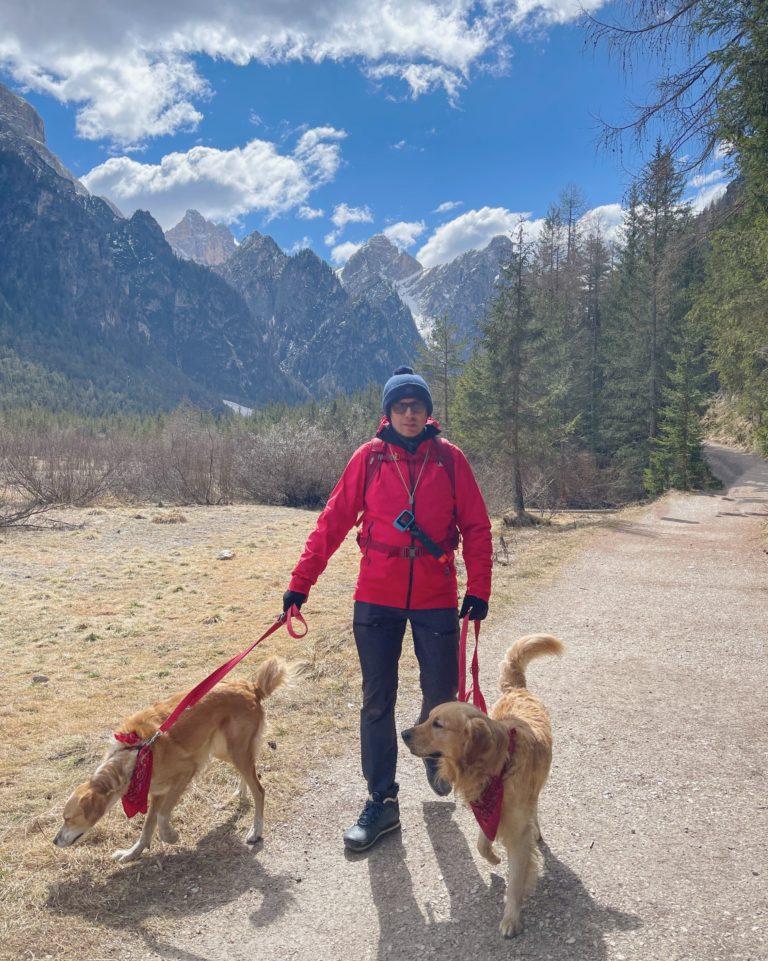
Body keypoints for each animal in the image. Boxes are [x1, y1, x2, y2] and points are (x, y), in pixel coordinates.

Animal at [53, 652, 288, 864]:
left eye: (68, 818)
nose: (55, 841)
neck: (135, 754)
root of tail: (251, 688)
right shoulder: (156, 791)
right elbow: (147, 826)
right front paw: (133, 853)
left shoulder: (185, 772)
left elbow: (162, 816)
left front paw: (170, 837)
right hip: (226, 750)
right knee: (248, 774)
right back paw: (240, 793)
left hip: (235, 750)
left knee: (260, 790)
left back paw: (256, 830)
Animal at [402, 632, 564, 932]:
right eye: (427, 718)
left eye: (438, 724)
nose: (404, 734)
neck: (499, 766)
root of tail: (516, 689)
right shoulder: (488, 809)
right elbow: (481, 842)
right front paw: (494, 857)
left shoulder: (517, 832)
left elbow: (515, 881)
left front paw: (511, 918)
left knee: (535, 808)